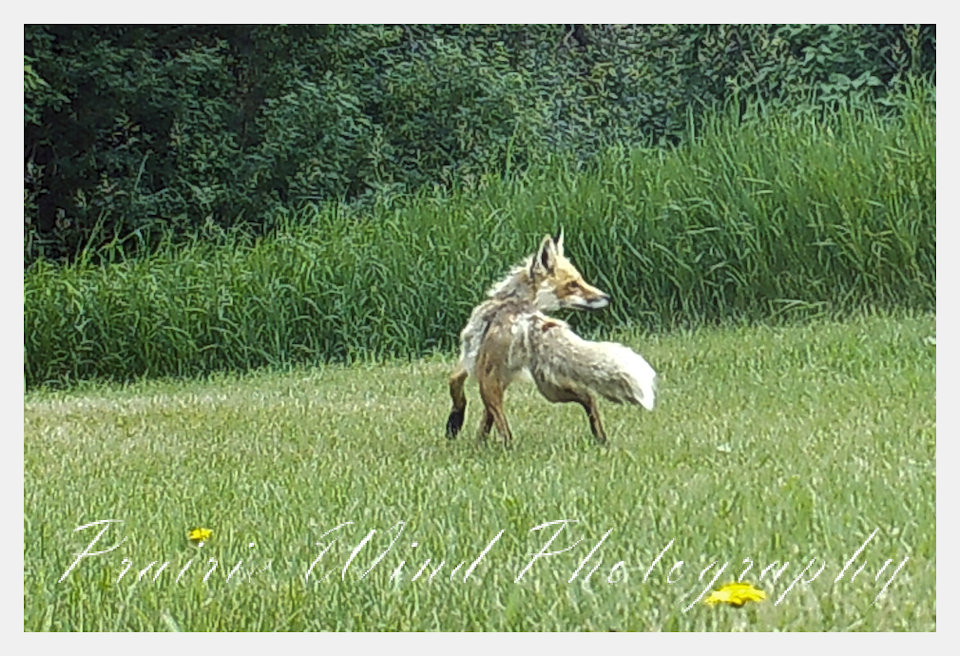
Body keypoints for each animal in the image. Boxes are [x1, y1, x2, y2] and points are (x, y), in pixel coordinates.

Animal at [445, 230, 656, 444]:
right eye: (573, 284)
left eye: (580, 281)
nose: (607, 297)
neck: (514, 299)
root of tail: (529, 320)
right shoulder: (502, 377)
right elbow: (485, 419)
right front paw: (477, 439)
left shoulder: (472, 361)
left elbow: (455, 383)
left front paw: (455, 423)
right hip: (550, 388)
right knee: (589, 397)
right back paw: (601, 439)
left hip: (498, 384)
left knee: (506, 432)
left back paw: (504, 447)